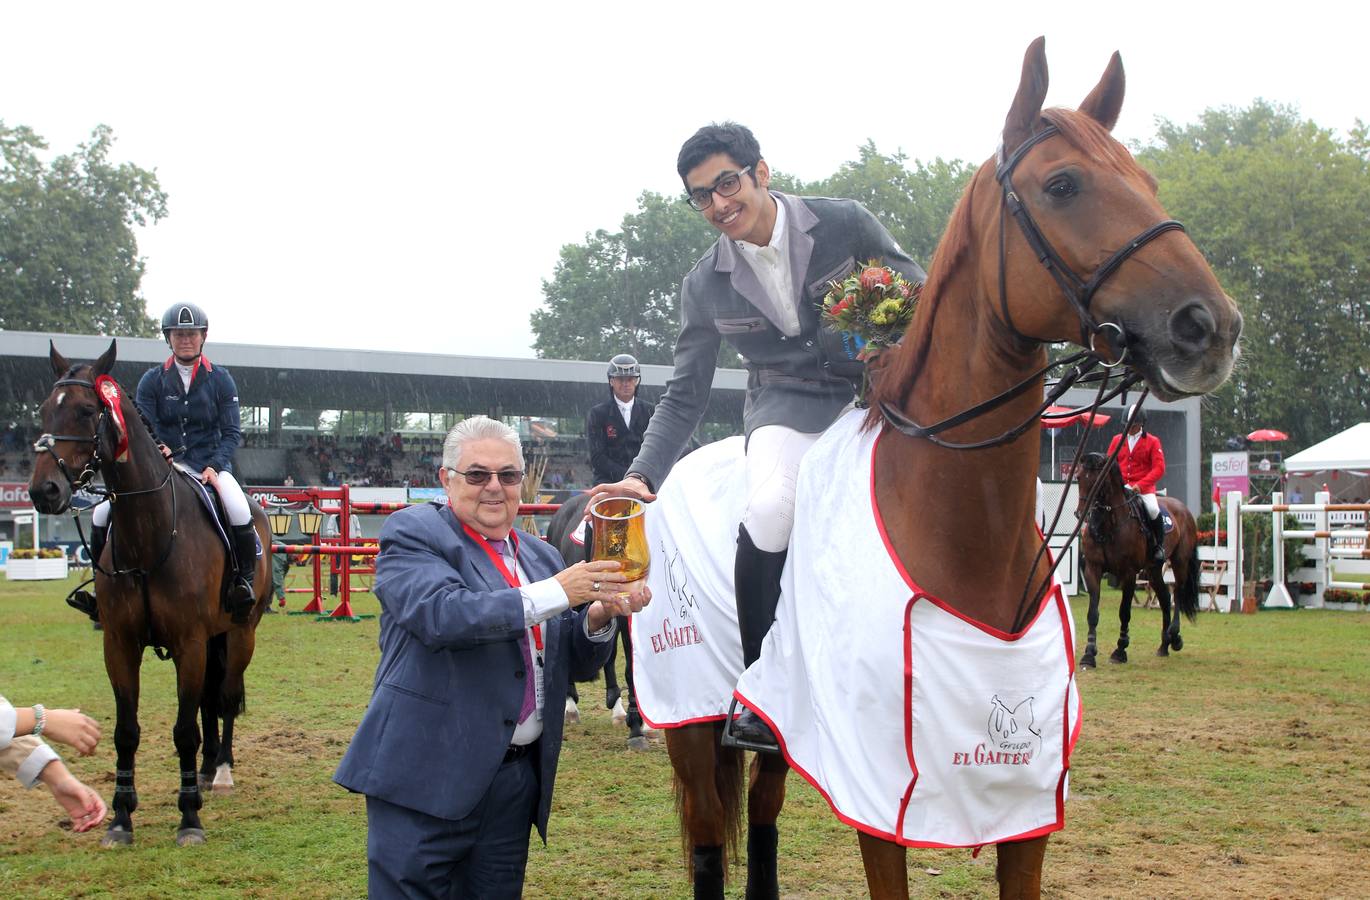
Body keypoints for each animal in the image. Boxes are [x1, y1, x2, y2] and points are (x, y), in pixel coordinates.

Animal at [29, 341, 271, 843]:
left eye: (87, 411)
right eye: (44, 409)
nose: (44, 491)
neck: (151, 530)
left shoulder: (190, 643)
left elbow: (184, 730)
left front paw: (190, 817)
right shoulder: (119, 644)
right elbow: (127, 730)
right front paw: (121, 817)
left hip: (240, 633)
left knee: (224, 696)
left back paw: (221, 770)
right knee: (209, 702)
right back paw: (205, 769)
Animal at [1074, 449, 1194, 665]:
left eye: (1099, 480)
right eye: (1078, 477)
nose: (1082, 514)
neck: (1108, 524)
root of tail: (1181, 506)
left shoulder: (1128, 574)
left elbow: (1124, 612)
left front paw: (1120, 650)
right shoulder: (1093, 569)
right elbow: (1093, 613)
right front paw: (1089, 654)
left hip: (1180, 562)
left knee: (1178, 592)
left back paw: (1175, 636)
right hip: (1153, 570)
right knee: (1164, 598)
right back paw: (1164, 645)